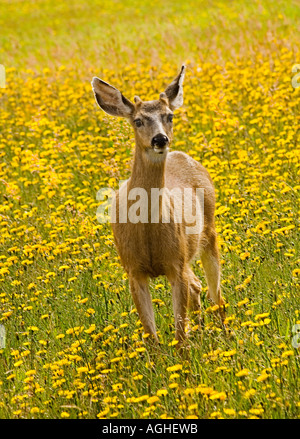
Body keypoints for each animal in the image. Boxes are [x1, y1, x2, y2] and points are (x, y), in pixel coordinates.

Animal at [91, 64, 225, 348]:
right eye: (138, 120)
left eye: (169, 116)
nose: (160, 139)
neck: (146, 231)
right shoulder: (133, 270)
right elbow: (151, 339)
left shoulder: (175, 265)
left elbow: (180, 336)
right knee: (198, 287)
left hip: (208, 235)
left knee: (216, 295)